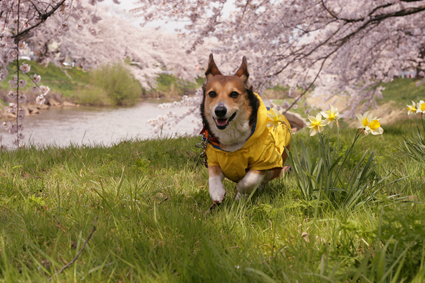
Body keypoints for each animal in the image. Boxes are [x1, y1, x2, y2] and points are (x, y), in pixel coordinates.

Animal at [200, 53, 292, 209]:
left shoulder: (264, 162)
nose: (220, 111)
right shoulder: (212, 160)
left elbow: (247, 181)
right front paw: (217, 193)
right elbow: (213, 177)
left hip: (276, 165)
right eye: (212, 94)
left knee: (266, 180)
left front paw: (240, 194)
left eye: (234, 94)